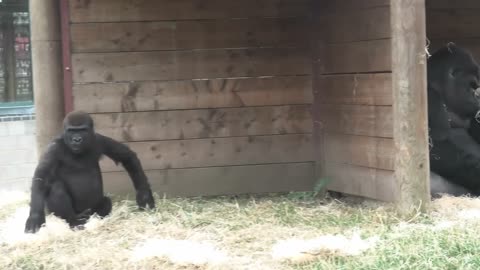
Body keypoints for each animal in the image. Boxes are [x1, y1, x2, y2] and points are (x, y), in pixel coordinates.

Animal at [24, 110, 156, 233]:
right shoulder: (53, 148)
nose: (77, 139)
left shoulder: (99, 139)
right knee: (56, 188)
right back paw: (73, 221)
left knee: (105, 202)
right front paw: (35, 217)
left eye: (82, 130)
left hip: (91, 210)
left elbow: (127, 157)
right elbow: (41, 177)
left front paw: (144, 196)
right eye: (71, 131)